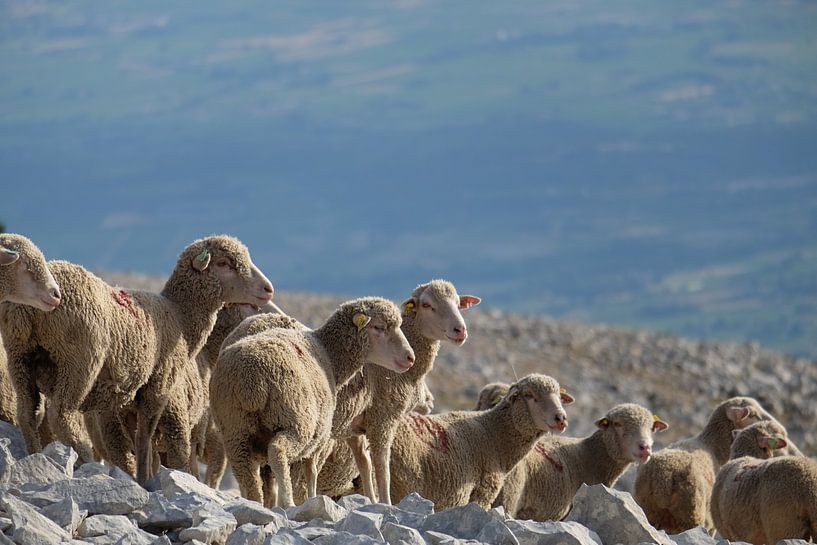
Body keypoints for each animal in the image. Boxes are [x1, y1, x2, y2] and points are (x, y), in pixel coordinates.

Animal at [0, 234, 274, 480]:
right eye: (224, 263)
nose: (268, 289)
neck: (179, 316)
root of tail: (25, 308)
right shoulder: (159, 385)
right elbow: (145, 438)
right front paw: (145, 480)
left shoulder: (120, 402)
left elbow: (134, 443)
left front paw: (143, 476)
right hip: (79, 360)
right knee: (61, 415)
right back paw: (84, 458)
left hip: (19, 358)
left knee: (27, 413)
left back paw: (34, 456)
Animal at [210, 298, 414, 506]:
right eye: (379, 327)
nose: (410, 357)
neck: (330, 356)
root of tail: (249, 381)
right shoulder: (319, 435)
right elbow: (311, 471)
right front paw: (311, 498)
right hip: (296, 423)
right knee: (277, 452)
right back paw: (287, 501)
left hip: (235, 430)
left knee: (246, 474)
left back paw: (256, 502)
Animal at [386, 372, 572, 508]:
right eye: (528, 394)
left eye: (559, 397)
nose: (561, 418)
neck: (494, 434)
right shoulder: (483, 494)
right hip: (399, 483)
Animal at [632, 394, 776, 532]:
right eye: (752, 415)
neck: (713, 447)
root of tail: (664, 477)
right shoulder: (711, 524)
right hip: (692, 514)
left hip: (648, 510)